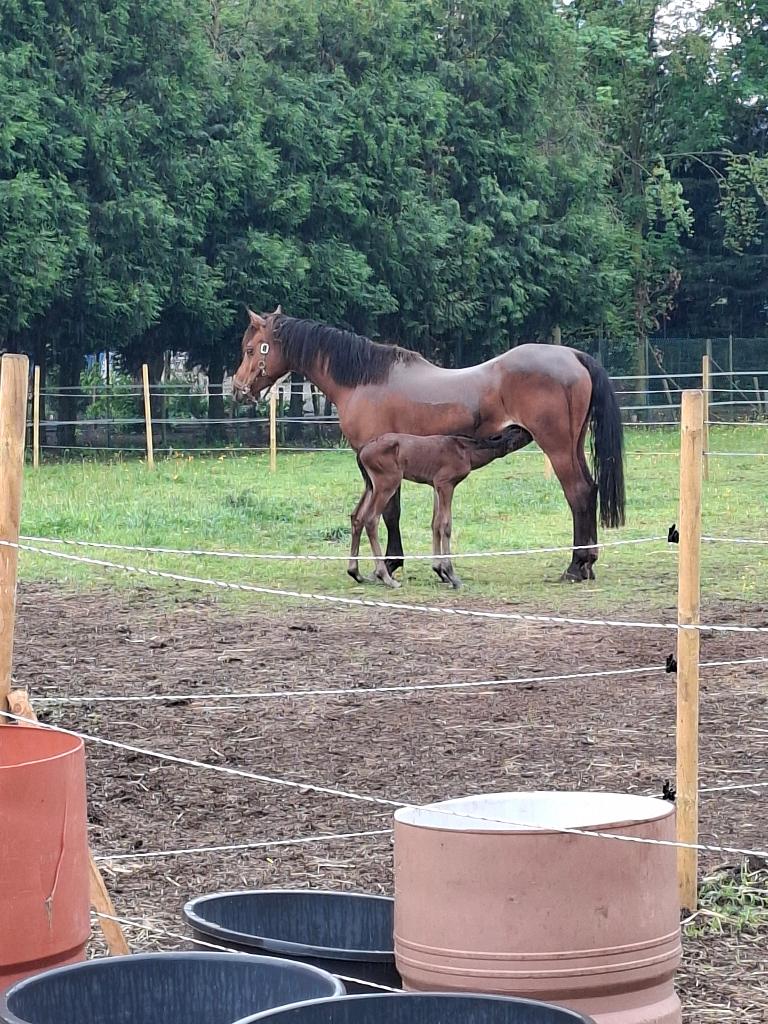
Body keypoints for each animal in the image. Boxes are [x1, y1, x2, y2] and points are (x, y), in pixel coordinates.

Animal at [349, 426, 533, 589]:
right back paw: (386, 577)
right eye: (519, 430)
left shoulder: (436, 486)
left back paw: (355, 572)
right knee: (371, 520)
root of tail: (363, 449)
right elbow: (445, 525)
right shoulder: (446, 484)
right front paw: (452, 575)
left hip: (370, 486)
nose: (531, 432)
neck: (465, 450)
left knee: (357, 517)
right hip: (386, 484)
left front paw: (439, 569)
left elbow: (435, 523)